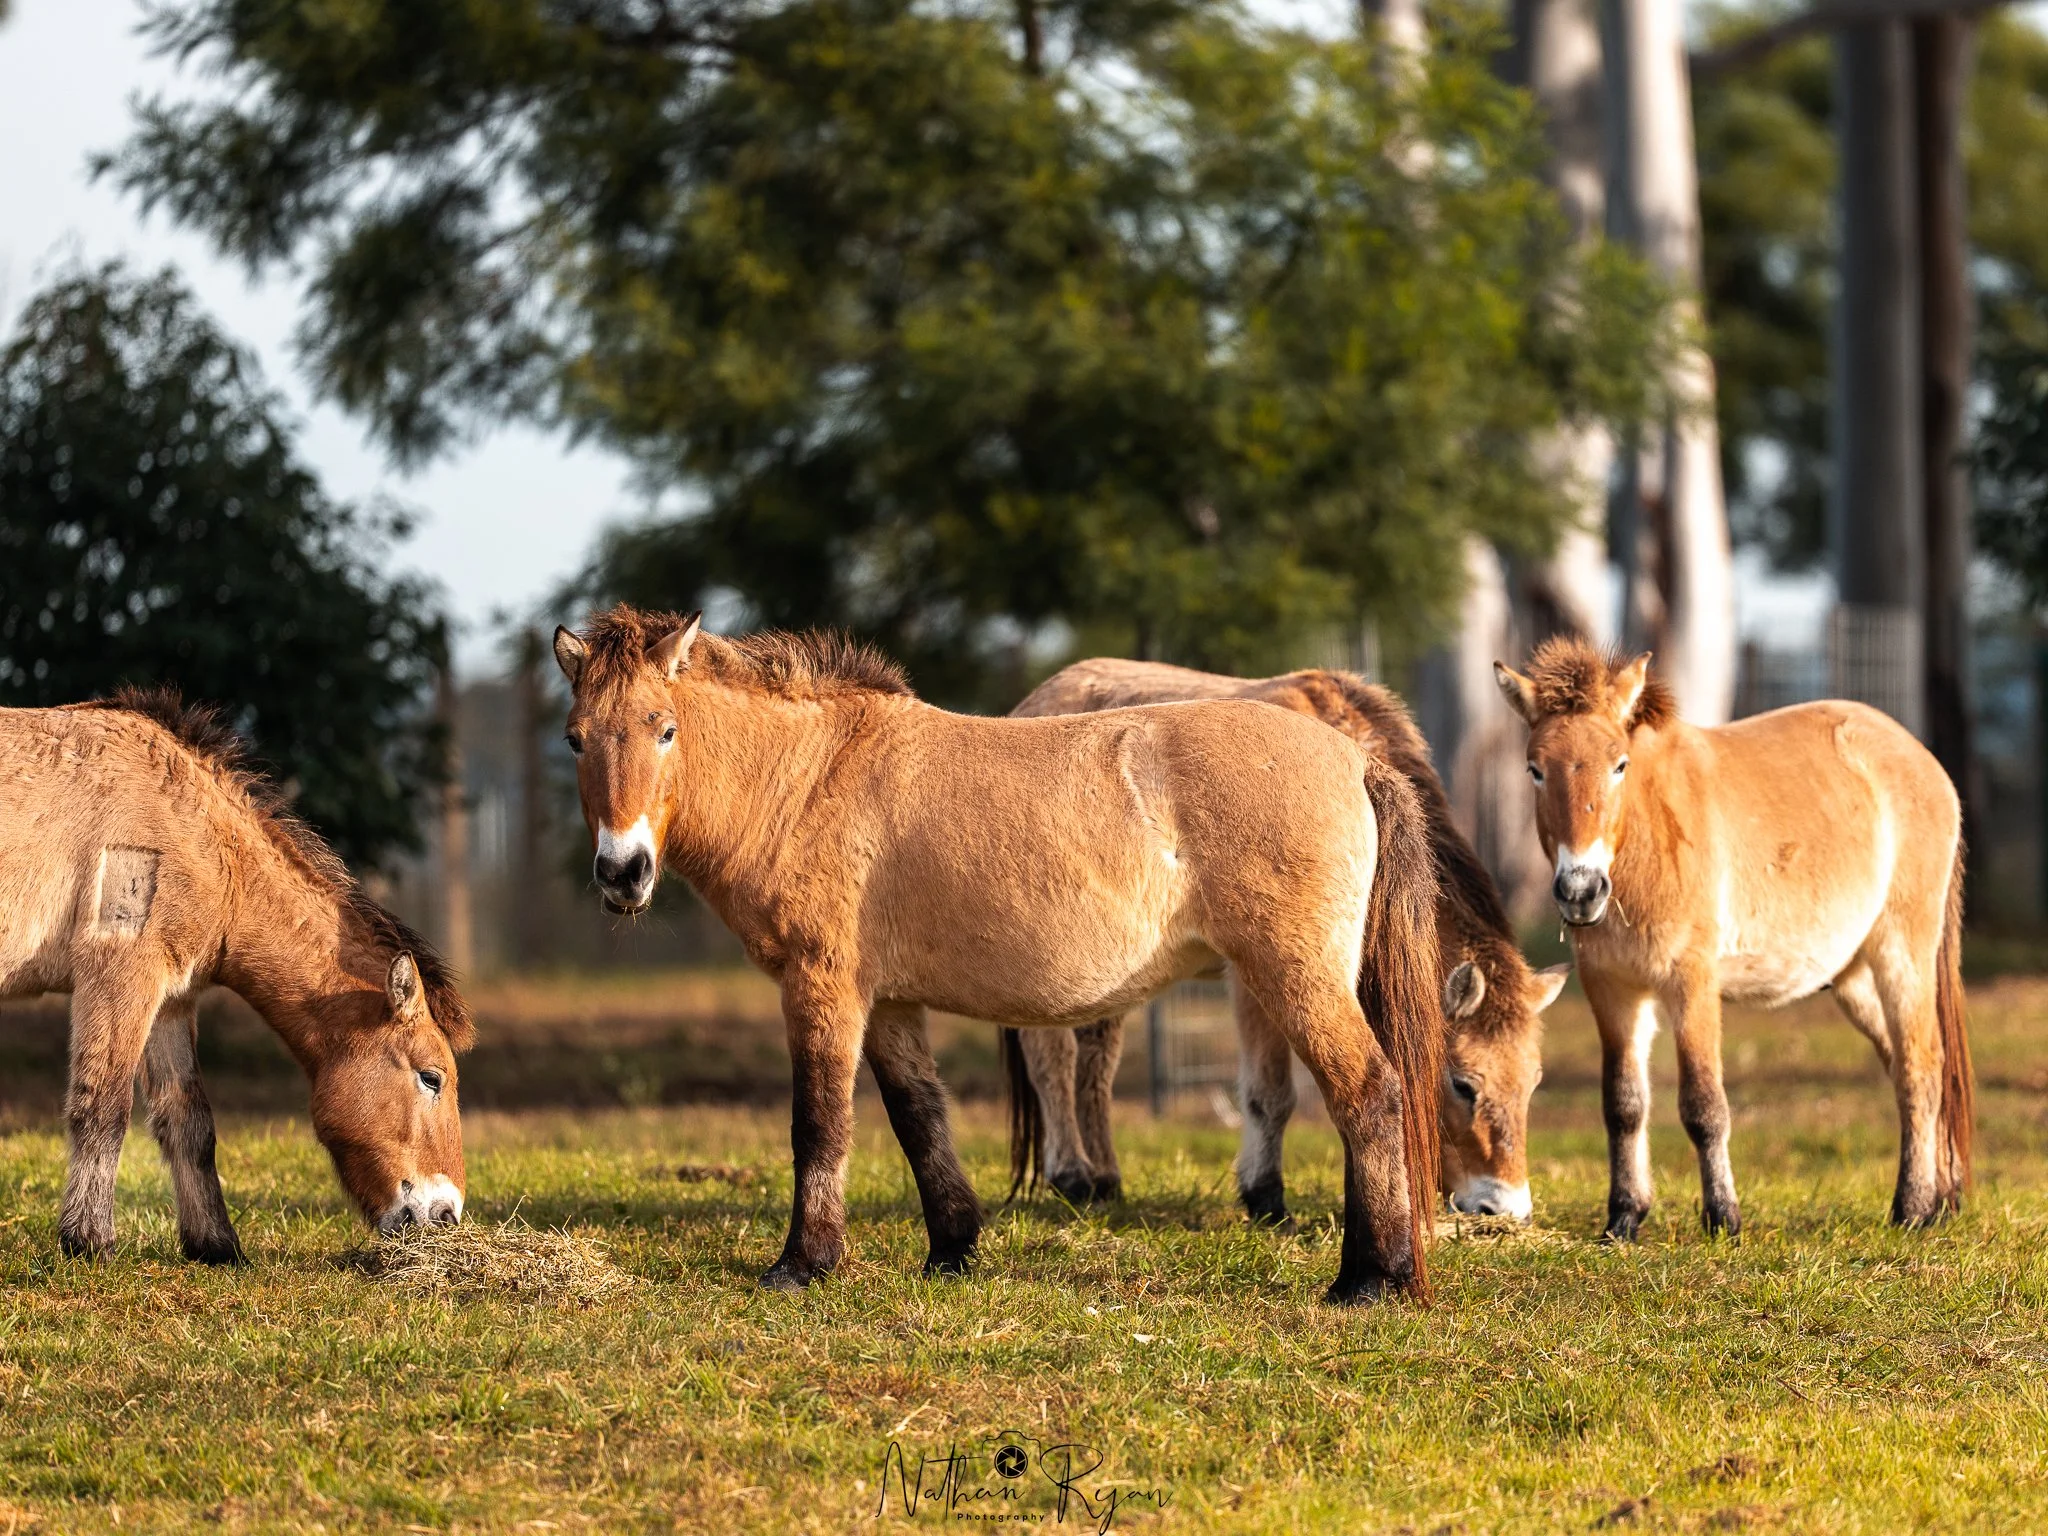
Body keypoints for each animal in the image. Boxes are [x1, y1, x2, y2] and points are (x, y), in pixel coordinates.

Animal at [0, 688, 473, 1261]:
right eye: (432, 1077)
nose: (446, 1214)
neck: (201, 835)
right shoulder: (122, 976)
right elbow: (104, 1108)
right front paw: (89, 1243)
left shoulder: (171, 1000)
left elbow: (188, 1121)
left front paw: (217, 1246)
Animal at [553, 606, 1445, 1303]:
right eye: (574, 741)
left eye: (666, 730)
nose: (623, 872)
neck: (812, 778)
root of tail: (1357, 761)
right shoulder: (889, 1002)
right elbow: (919, 1117)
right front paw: (952, 1247)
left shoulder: (822, 988)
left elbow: (820, 1124)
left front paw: (803, 1264)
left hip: (1296, 979)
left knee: (1369, 1093)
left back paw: (1370, 1279)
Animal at [1002, 659, 1570, 1223]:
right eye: (1463, 1085)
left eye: (1534, 1084)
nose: (1504, 1206)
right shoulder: (1256, 978)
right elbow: (1270, 1094)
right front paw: (1266, 1197)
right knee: (1051, 1058)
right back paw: (1073, 1176)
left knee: (1096, 1061)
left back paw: (1105, 1180)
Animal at [1493, 638, 1972, 1237]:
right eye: (1535, 769)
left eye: (1619, 764)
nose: (1581, 889)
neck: (1646, 845)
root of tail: (1924, 762)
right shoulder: (1613, 988)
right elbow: (1624, 1104)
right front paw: (1623, 1218)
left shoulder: (1692, 983)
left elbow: (1704, 1105)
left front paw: (1723, 1217)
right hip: (1854, 979)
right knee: (1904, 1067)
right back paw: (1938, 1200)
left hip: (1902, 955)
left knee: (1921, 1068)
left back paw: (1911, 1208)